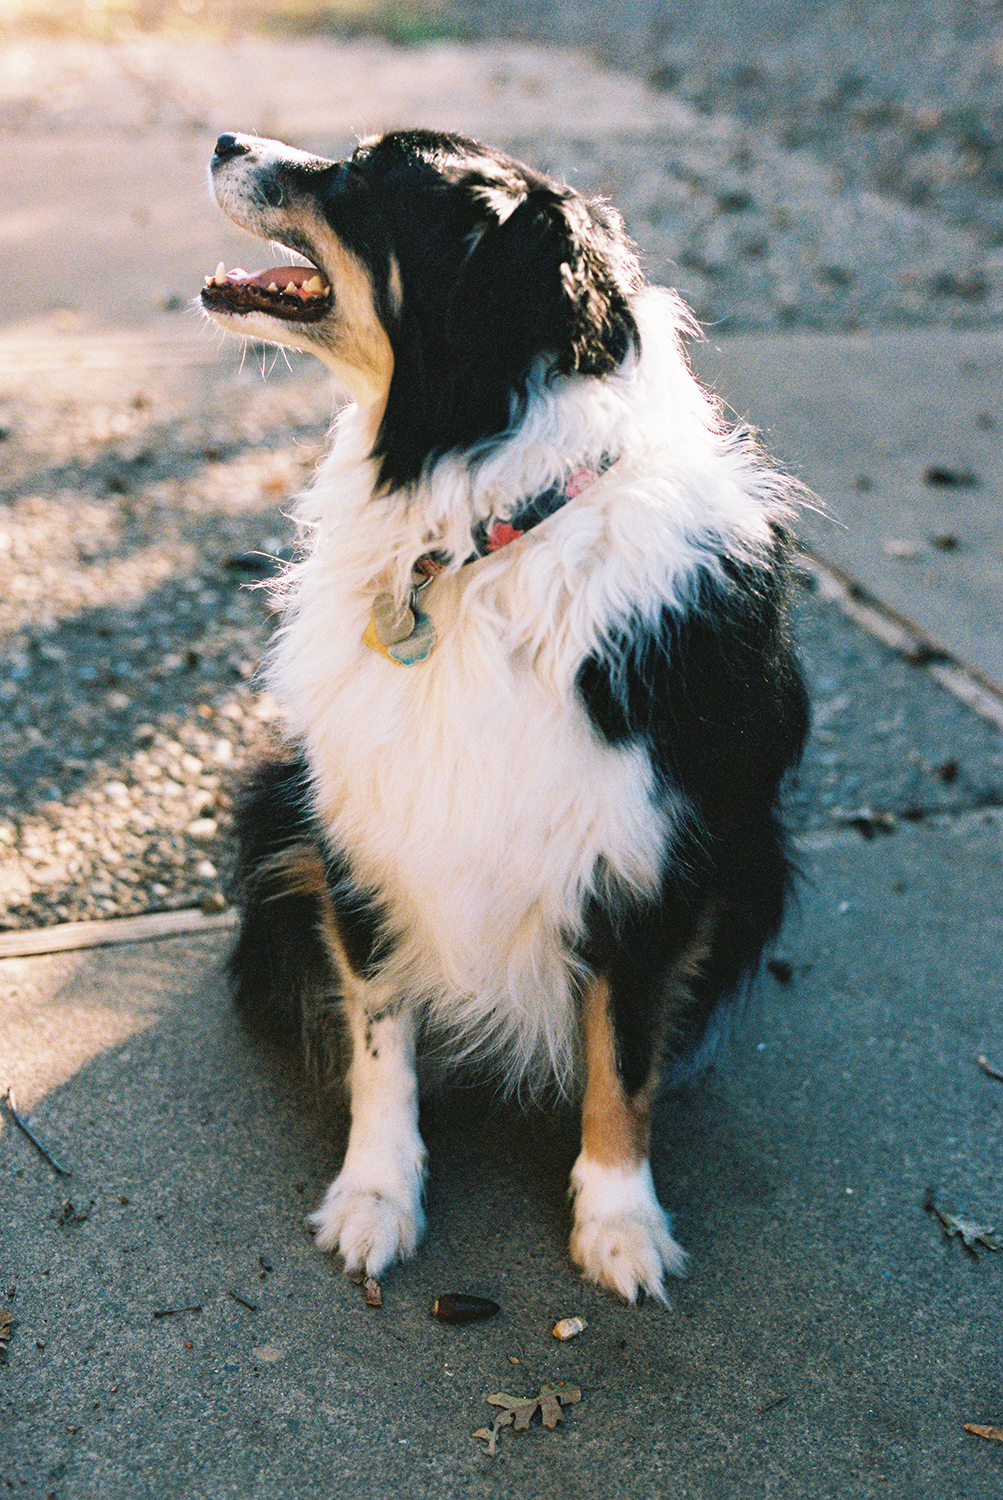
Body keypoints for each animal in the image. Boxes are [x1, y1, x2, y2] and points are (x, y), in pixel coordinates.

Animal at [200, 129, 803, 1302]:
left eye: (363, 174)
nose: (223, 139)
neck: (490, 533)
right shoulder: (365, 830)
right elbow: (380, 1031)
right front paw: (376, 1196)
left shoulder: (653, 861)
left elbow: (623, 1058)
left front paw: (619, 1220)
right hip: (278, 805)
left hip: (751, 860)